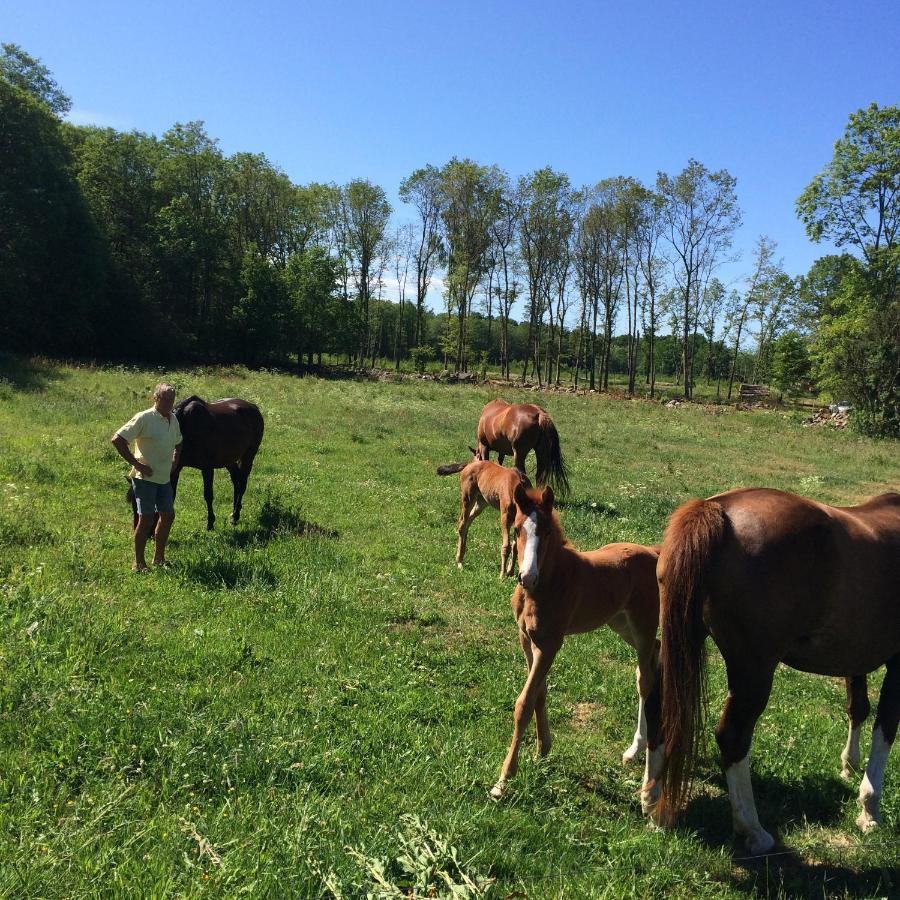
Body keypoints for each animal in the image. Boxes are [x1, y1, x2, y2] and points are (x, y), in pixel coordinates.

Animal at [128, 398, 266, 532]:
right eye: (133, 505)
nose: (143, 532)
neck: (185, 428)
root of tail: (254, 407)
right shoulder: (176, 468)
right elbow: (172, 495)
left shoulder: (207, 468)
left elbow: (208, 495)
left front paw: (210, 523)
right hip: (229, 459)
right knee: (236, 480)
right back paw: (234, 513)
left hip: (248, 456)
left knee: (242, 483)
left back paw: (235, 515)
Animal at [492, 486, 660, 800]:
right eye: (518, 529)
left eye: (546, 532)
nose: (526, 577)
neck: (548, 583)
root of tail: (655, 553)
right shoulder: (527, 639)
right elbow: (539, 693)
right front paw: (543, 749)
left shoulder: (550, 644)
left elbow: (524, 703)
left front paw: (504, 779)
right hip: (620, 623)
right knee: (655, 653)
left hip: (642, 624)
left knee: (645, 678)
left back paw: (635, 749)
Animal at [652, 488, 900, 856]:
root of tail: (716, 509)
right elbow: (885, 728)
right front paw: (869, 808)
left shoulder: (857, 655)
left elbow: (858, 708)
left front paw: (849, 765)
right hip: (754, 670)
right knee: (732, 736)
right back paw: (752, 829)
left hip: (679, 639)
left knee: (659, 705)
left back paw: (650, 800)